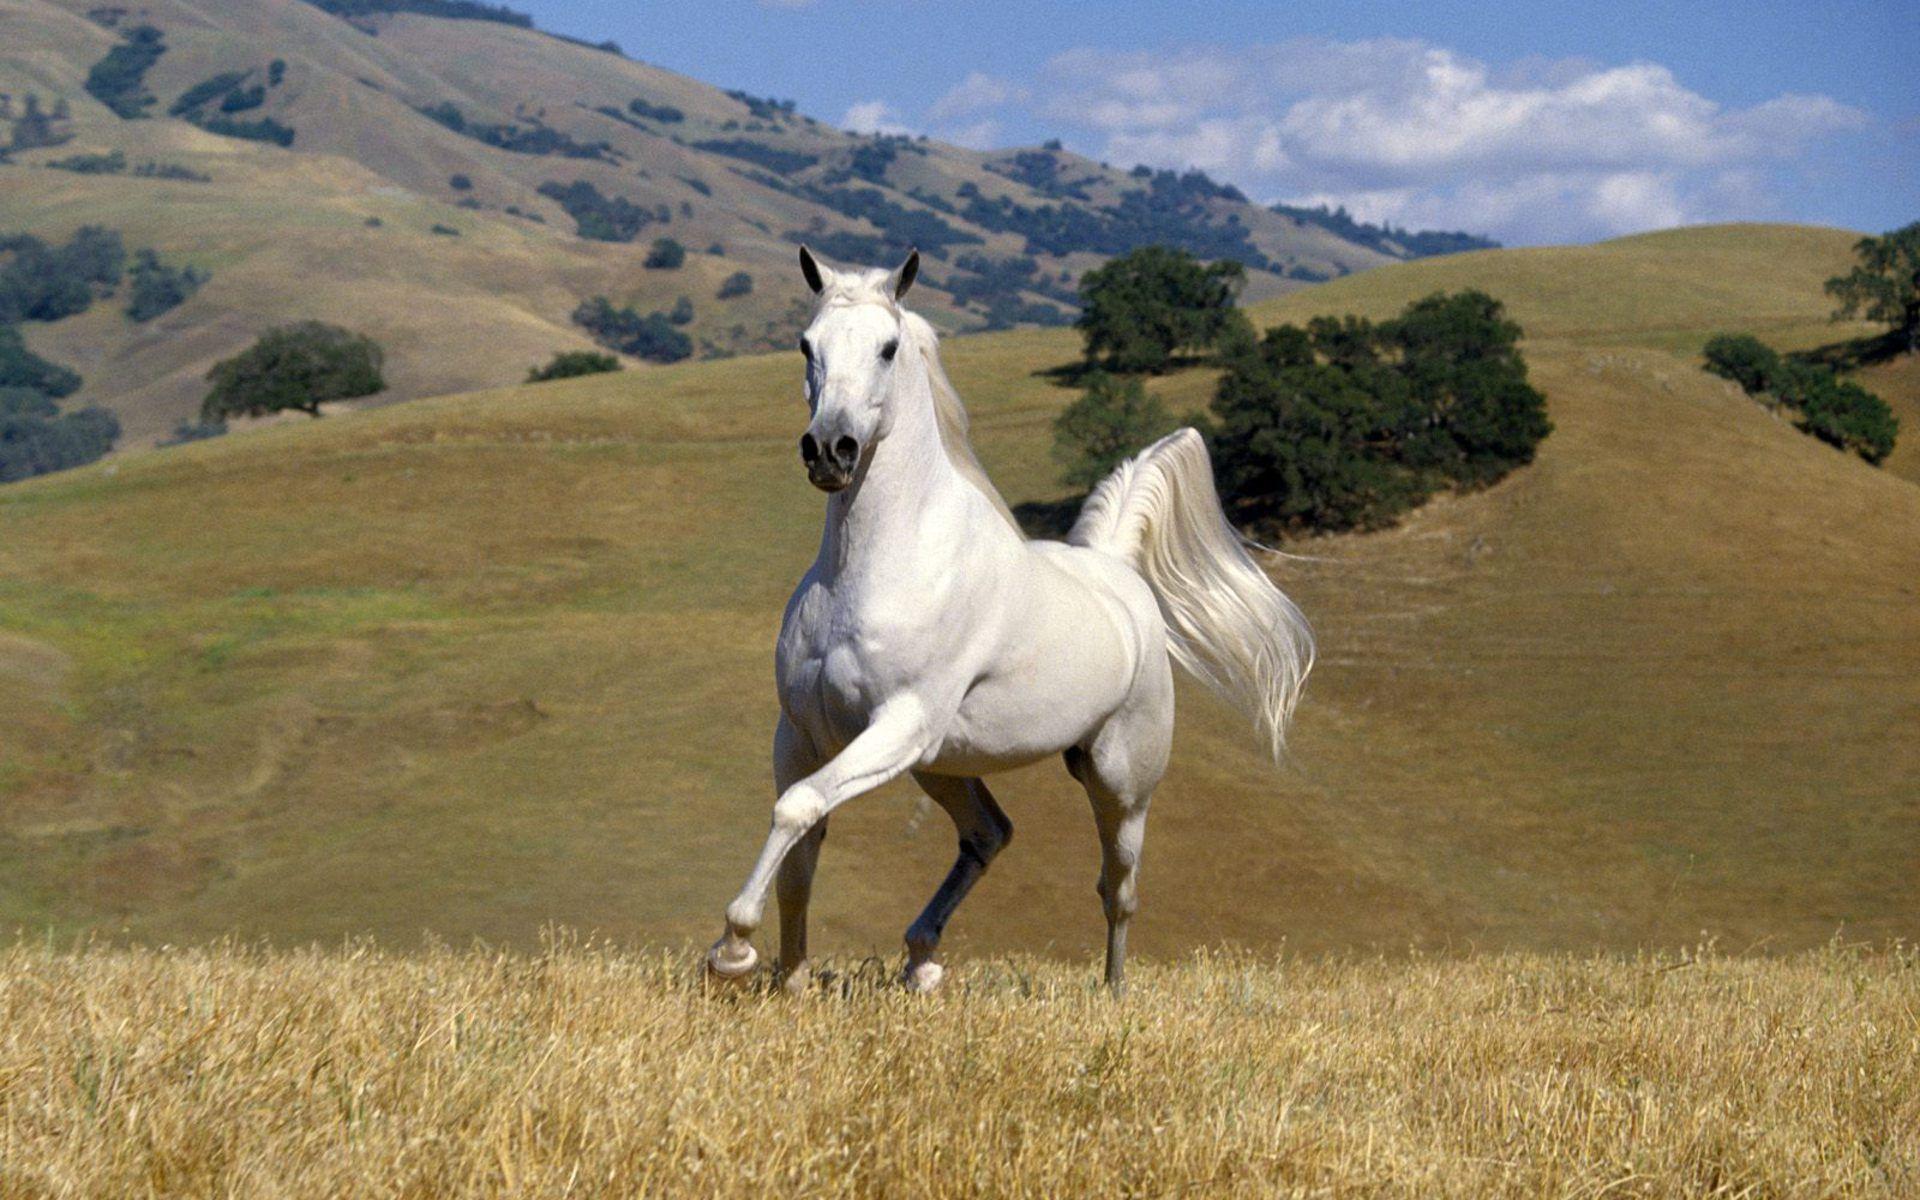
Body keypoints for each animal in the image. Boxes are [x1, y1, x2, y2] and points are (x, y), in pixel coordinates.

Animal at [705, 247, 1313, 993]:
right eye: (806, 345)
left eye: (887, 347)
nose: (829, 450)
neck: (872, 568)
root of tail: (1116, 572)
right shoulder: (803, 733)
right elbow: (801, 845)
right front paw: (788, 982)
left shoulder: (899, 722)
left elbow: (797, 809)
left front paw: (733, 950)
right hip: (940, 765)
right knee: (990, 833)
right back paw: (920, 960)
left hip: (1117, 781)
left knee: (1118, 889)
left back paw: (1111, 993)